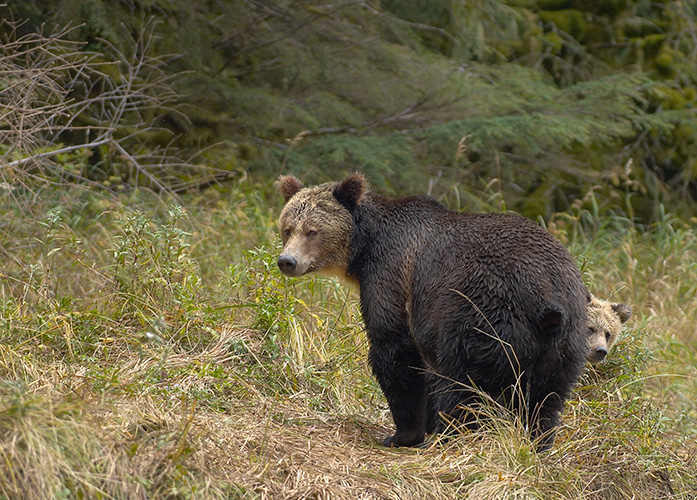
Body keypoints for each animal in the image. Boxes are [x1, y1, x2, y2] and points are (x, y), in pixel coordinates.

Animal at [276, 174, 588, 452]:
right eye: (288, 228)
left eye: (313, 231)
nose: (287, 261)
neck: (364, 250)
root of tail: (546, 301)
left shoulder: (391, 276)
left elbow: (395, 350)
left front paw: (403, 434)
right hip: (566, 343)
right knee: (545, 400)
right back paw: (538, 442)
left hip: (482, 316)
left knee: (462, 382)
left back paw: (449, 436)